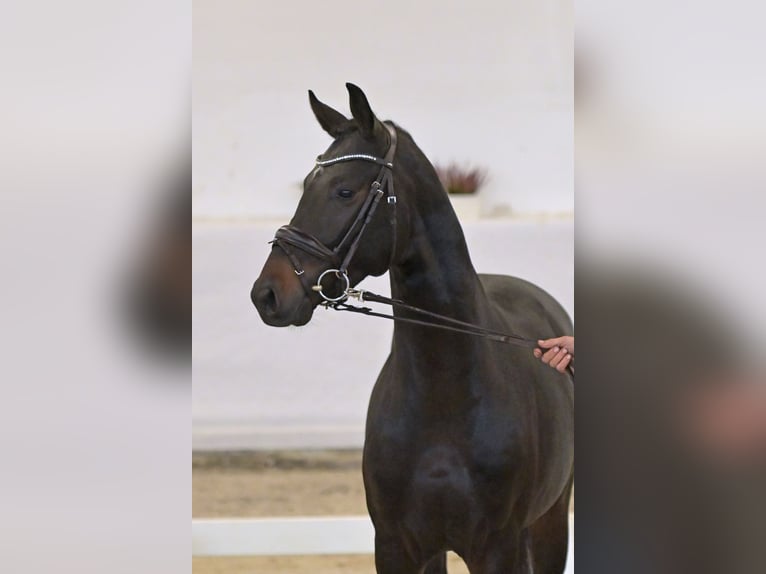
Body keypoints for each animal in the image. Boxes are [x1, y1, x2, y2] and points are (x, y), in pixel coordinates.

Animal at [254, 83, 576, 572]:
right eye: (307, 184)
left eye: (345, 190)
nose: (267, 294)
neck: (444, 398)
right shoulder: (397, 545)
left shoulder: (499, 548)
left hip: (550, 524)